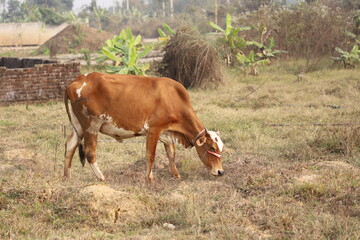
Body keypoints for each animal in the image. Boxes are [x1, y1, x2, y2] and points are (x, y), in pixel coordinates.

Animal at [63, 72, 224, 181]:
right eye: (211, 147)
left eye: (221, 148)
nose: (220, 172)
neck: (174, 99)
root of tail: (78, 80)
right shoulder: (154, 130)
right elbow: (150, 156)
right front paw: (149, 179)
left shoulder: (167, 132)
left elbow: (171, 155)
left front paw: (176, 175)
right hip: (92, 126)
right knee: (89, 152)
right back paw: (102, 178)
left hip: (79, 127)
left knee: (70, 146)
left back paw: (67, 177)